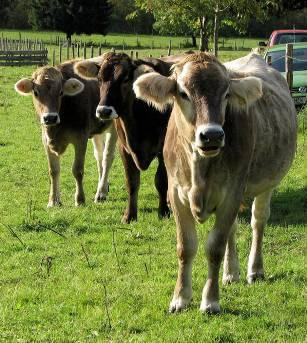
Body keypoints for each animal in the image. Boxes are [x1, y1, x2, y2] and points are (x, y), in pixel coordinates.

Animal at [13, 59, 117, 207]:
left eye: (61, 92)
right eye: (36, 92)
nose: (50, 118)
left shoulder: (81, 138)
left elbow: (77, 170)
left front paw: (80, 199)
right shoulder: (45, 141)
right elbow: (53, 170)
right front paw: (53, 201)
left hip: (114, 126)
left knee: (108, 157)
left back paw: (101, 193)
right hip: (98, 131)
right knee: (100, 156)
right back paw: (104, 188)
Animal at [73, 51, 177, 223]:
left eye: (126, 79)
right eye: (99, 79)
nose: (104, 111)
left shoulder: (163, 148)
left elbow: (161, 181)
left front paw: (163, 212)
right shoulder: (124, 148)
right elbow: (132, 182)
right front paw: (129, 215)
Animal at [135, 53, 298, 314]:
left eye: (226, 93)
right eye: (183, 93)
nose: (211, 135)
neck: (199, 168)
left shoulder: (231, 194)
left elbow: (214, 248)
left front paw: (210, 300)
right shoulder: (176, 195)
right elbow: (186, 247)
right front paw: (180, 298)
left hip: (267, 184)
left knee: (258, 221)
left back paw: (255, 270)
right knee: (233, 229)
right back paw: (231, 273)